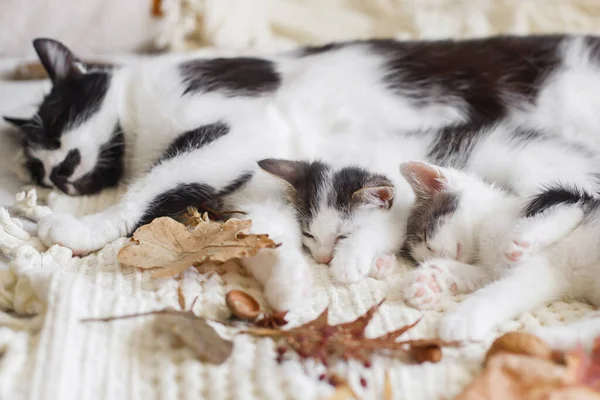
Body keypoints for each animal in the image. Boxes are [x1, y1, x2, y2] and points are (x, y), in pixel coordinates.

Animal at [8, 36, 600, 310]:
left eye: (57, 124)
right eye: (36, 170)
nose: (58, 177)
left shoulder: (240, 130)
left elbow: (151, 185)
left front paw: (81, 226)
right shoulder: (270, 186)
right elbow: (268, 234)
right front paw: (288, 284)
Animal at [398, 161, 600, 348]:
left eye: (425, 235)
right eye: (421, 258)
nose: (434, 255)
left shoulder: (564, 198)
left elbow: (569, 211)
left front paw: (463, 318)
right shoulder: (495, 271)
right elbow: (488, 281)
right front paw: (426, 281)